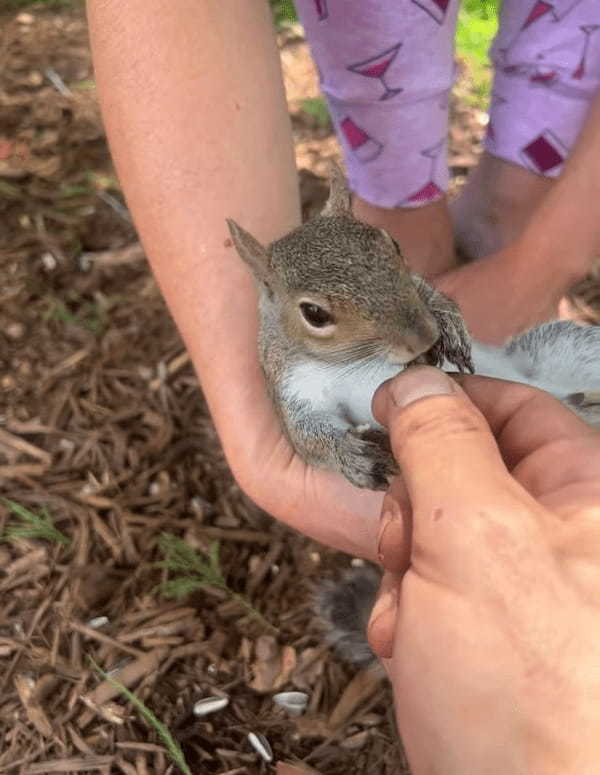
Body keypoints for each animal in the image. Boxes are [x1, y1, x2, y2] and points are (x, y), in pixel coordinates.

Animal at [226, 164, 600, 492]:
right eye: (314, 314)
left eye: (392, 243)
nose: (424, 337)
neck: (351, 362)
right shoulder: (290, 387)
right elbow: (306, 437)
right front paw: (351, 455)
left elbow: (425, 288)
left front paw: (448, 321)